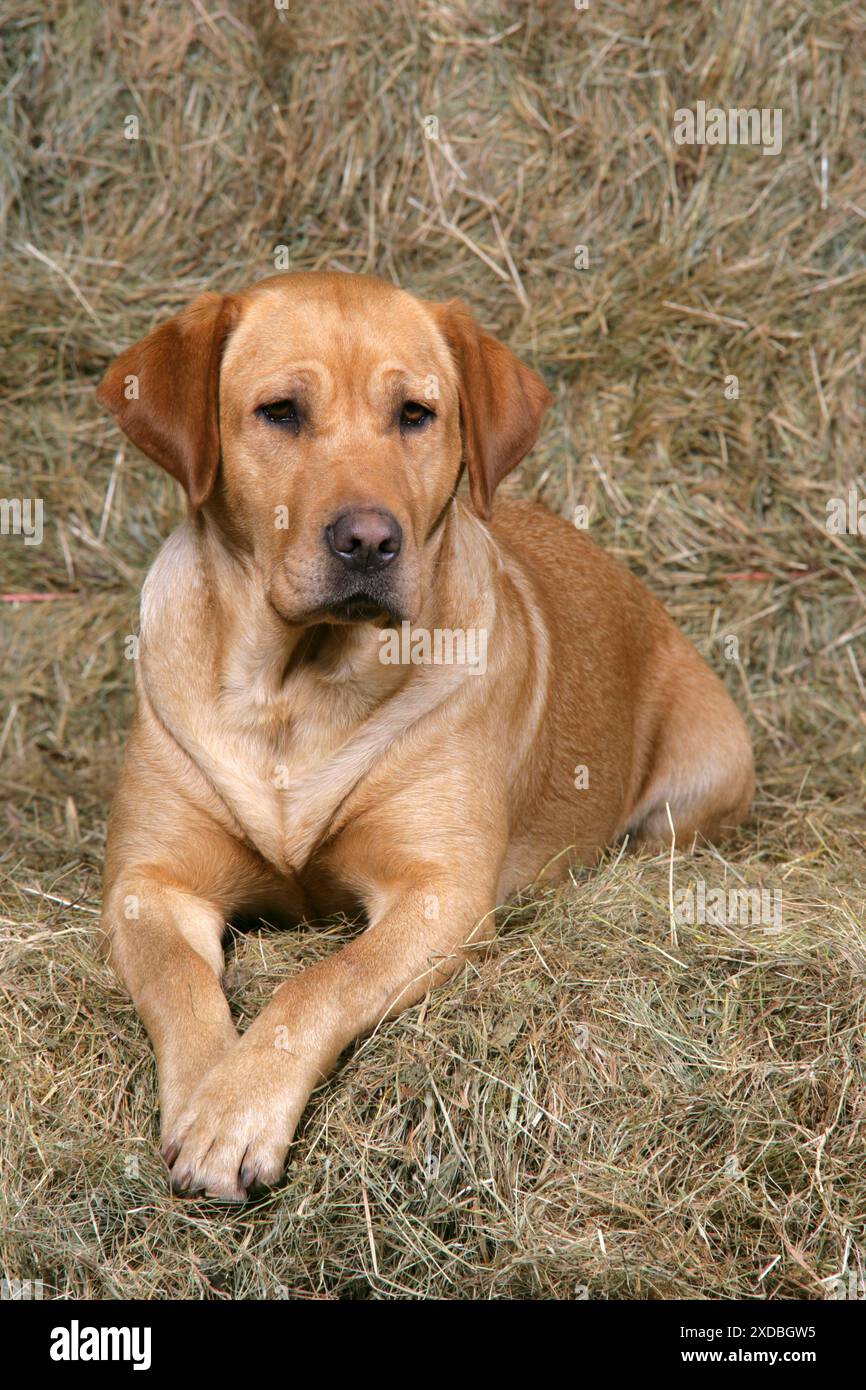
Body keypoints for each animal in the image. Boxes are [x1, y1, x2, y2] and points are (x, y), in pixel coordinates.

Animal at [97, 268, 756, 1195]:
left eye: (415, 413)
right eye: (280, 411)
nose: (369, 539)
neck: (295, 690)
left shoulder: (438, 894)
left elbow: (322, 982)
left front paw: (239, 1103)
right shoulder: (148, 885)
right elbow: (182, 985)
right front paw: (208, 1088)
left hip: (705, 769)